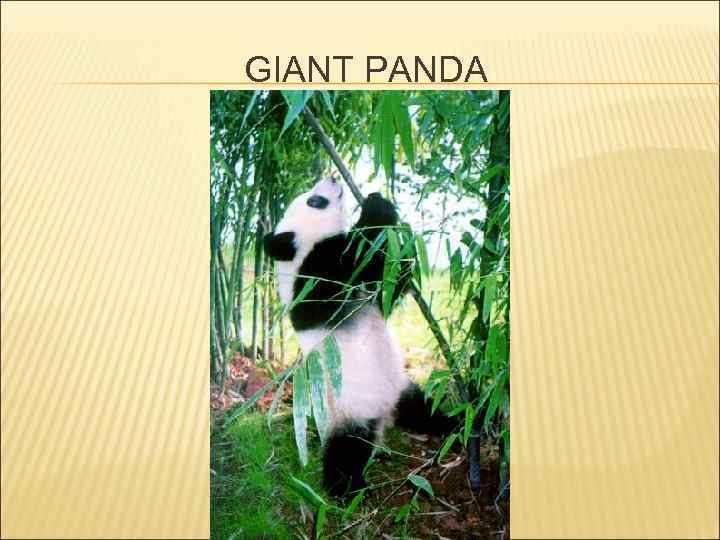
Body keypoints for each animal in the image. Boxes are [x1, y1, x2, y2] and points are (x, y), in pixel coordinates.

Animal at [264, 176, 453, 497]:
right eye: (315, 201)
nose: (332, 177)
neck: (298, 253)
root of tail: (385, 416)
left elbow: (388, 285)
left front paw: (400, 234)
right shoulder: (312, 281)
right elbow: (355, 258)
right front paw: (376, 206)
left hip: (401, 388)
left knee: (426, 408)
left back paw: (460, 422)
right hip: (348, 409)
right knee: (346, 450)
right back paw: (345, 490)